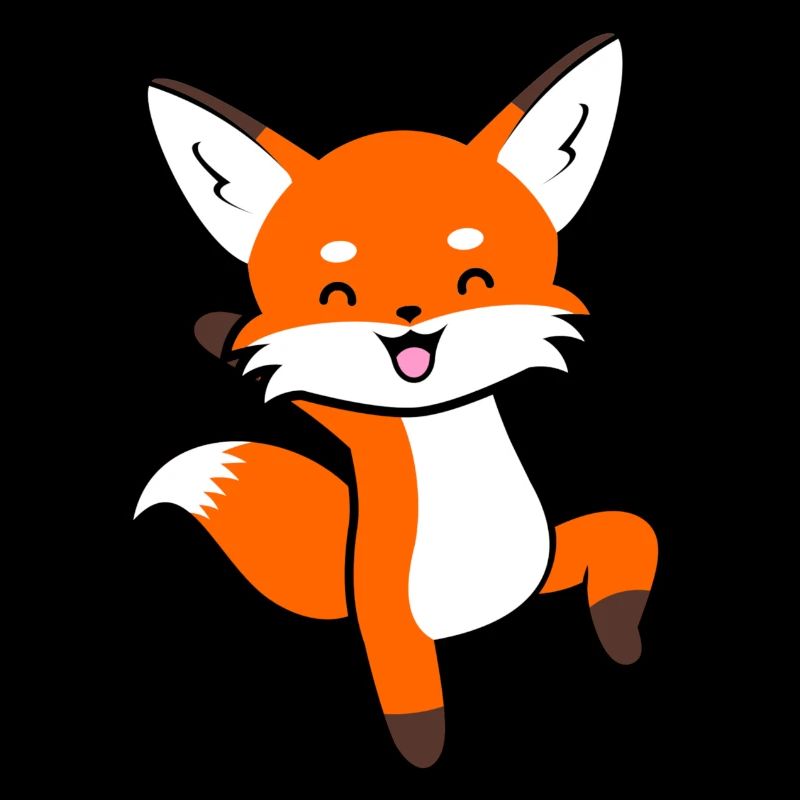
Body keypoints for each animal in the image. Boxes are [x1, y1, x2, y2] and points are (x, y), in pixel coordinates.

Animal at [135, 33, 658, 768]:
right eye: (337, 295)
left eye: (475, 279)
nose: (409, 318)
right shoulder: (394, 629)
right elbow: (413, 705)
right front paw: (423, 755)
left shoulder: (551, 557)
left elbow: (632, 532)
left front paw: (621, 636)